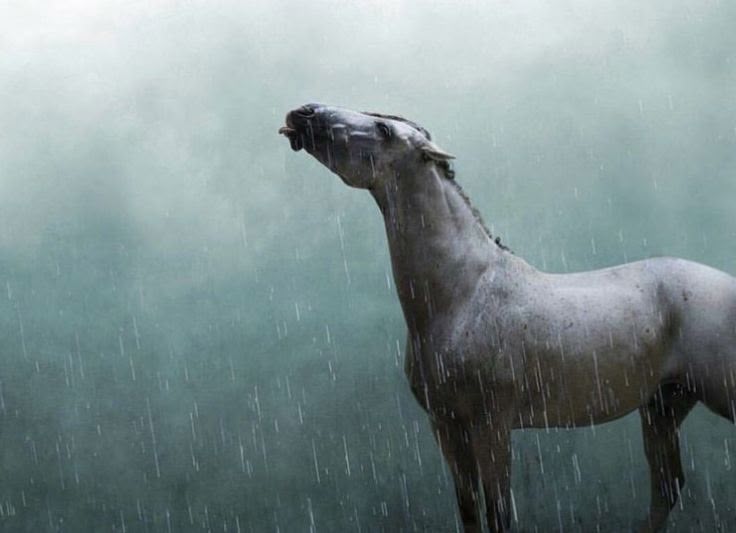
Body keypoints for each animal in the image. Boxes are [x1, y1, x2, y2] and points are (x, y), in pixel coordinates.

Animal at [279, 103, 736, 532]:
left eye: (383, 130)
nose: (303, 113)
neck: (463, 295)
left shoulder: (491, 428)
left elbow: (498, 511)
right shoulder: (446, 427)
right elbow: (468, 509)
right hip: (663, 406)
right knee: (667, 488)